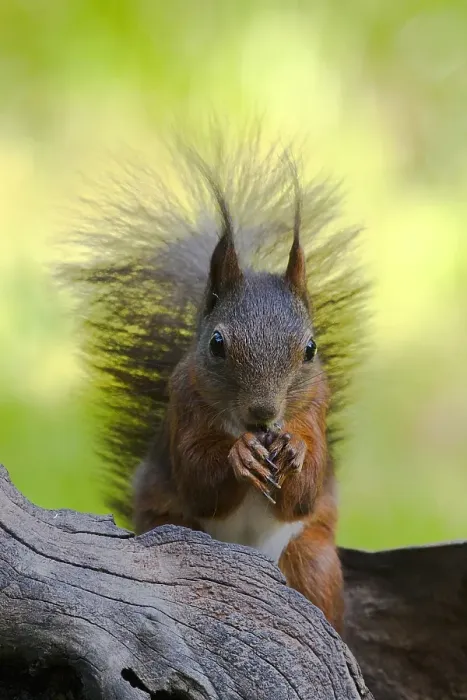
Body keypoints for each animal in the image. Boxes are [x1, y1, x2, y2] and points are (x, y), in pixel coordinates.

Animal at [62, 134, 366, 633]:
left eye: (310, 349)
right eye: (217, 344)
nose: (263, 413)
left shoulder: (315, 407)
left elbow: (304, 493)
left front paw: (295, 451)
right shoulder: (184, 401)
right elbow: (197, 479)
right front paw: (239, 454)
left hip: (311, 558)